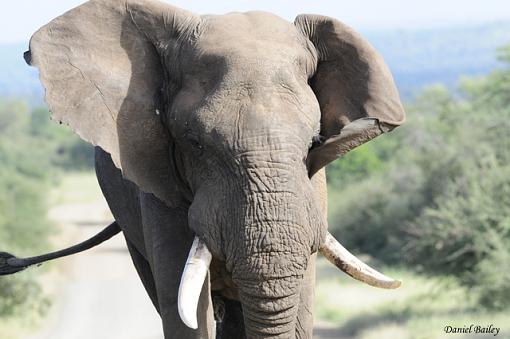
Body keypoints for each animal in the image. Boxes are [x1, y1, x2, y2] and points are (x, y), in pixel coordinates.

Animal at [1, 0, 404, 339]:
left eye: (313, 142)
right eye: (195, 143)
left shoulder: (312, 191)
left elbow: (302, 301)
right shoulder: (157, 182)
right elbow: (183, 311)